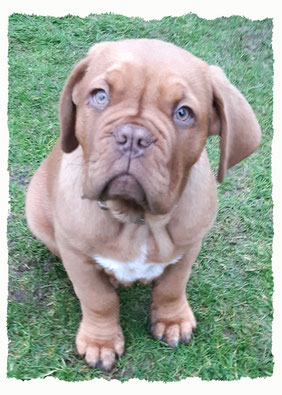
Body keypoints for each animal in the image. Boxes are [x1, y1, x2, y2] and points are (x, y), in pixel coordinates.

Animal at [25, 39, 262, 372]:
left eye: (183, 113)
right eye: (100, 96)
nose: (133, 136)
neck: (139, 219)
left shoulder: (190, 246)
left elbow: (172, 287)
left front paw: (172, 320)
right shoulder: (77, 256)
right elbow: (98, 299)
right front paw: (101, 342)